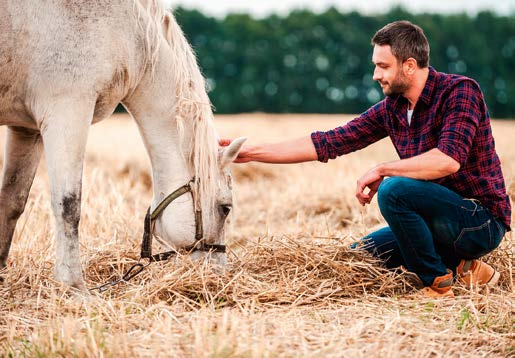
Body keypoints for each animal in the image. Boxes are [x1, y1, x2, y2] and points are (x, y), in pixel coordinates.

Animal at [0, 0, 246, 290]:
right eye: (225, 208)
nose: (217, 274)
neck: (130, 33)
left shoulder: (28, 129)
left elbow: (12, 202)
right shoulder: (67, 111)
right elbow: (69, 205)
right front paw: (73, 285)